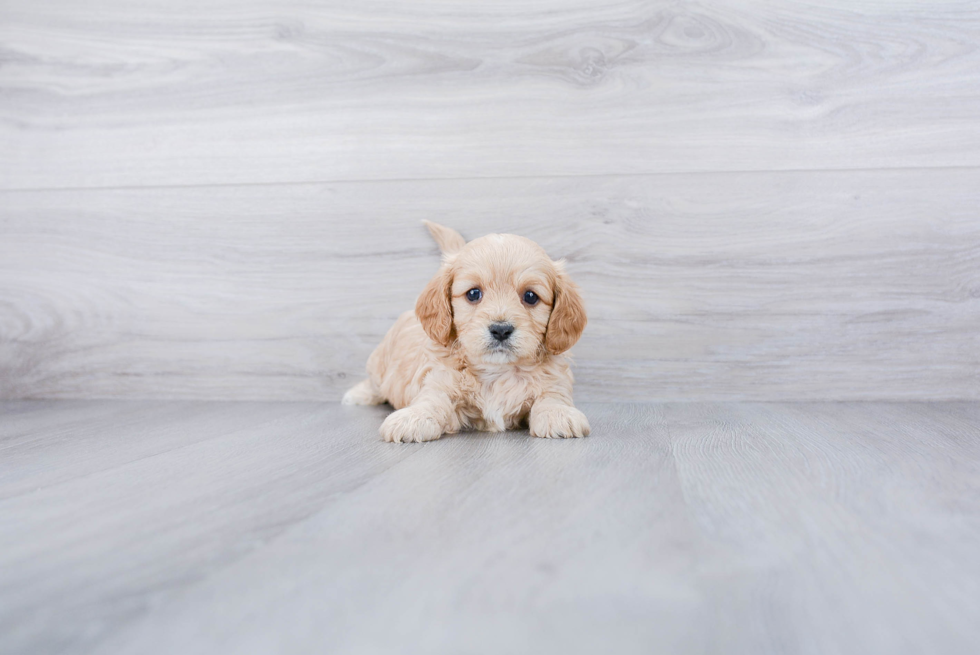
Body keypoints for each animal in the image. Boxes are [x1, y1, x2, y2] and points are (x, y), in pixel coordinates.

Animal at [344, 223, 588, 444]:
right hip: (379, 363)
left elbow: (552, 396)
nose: (501, 329)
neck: (497, 371)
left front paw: (558, 413)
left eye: (530, 296)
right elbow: (432, 400)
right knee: (374, 383)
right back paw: (358, 394)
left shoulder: (555, 379)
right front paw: (413, 418)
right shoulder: (438, 380)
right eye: (473, 293)